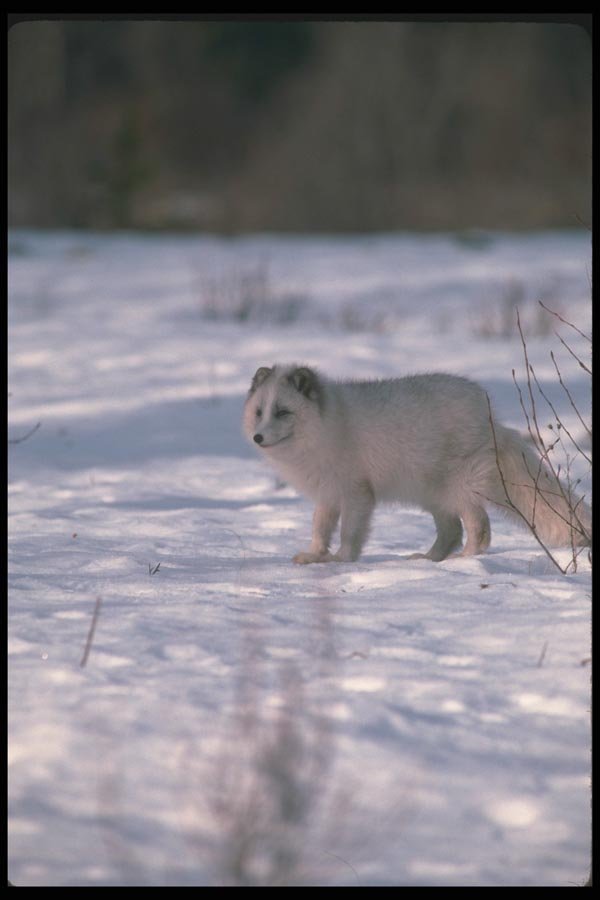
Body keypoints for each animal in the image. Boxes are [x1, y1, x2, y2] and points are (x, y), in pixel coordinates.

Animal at [243, 364, 591, 564]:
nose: (258, 437)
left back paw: (464, 560)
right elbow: (319, 527)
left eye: (283, 412)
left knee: (479, 528)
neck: (327, 426)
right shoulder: (328, 493)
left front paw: (341, 560)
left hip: (457, 487)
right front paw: (314, 555)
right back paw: (427, 559)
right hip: (432, 495)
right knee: (452, 530)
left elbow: (349, 532)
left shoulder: (357, 492)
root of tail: (490, 415)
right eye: (259, 412)